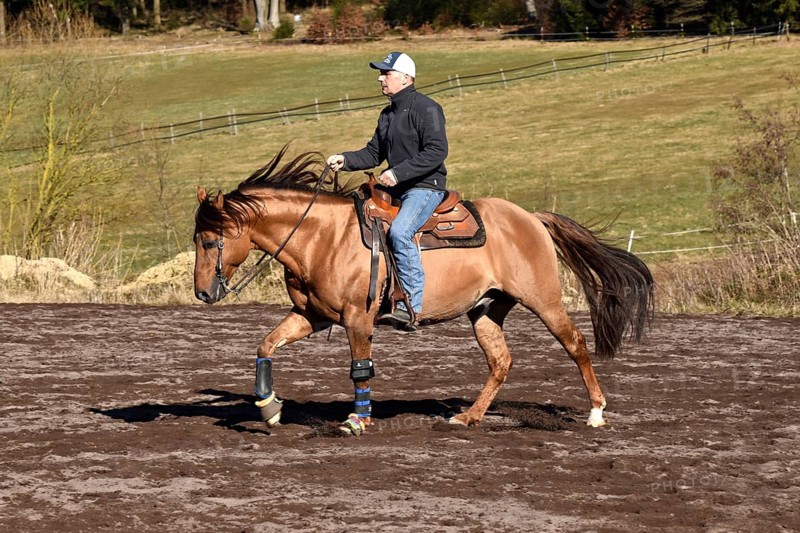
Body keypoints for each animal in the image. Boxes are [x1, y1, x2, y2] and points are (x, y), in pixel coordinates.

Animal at [193, 148, 654, 435]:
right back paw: (468, 418)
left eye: (211, 242)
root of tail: (532, 218)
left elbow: (360, 369)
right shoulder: (312, 316)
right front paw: (270, 409)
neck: (322, 237)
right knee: (500, 362)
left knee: (575, 344)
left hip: (544, 300)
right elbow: (266, 345)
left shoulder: (357, 318)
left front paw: (357, 422)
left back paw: (596, 412)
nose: (202, 294)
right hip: (486, 310)